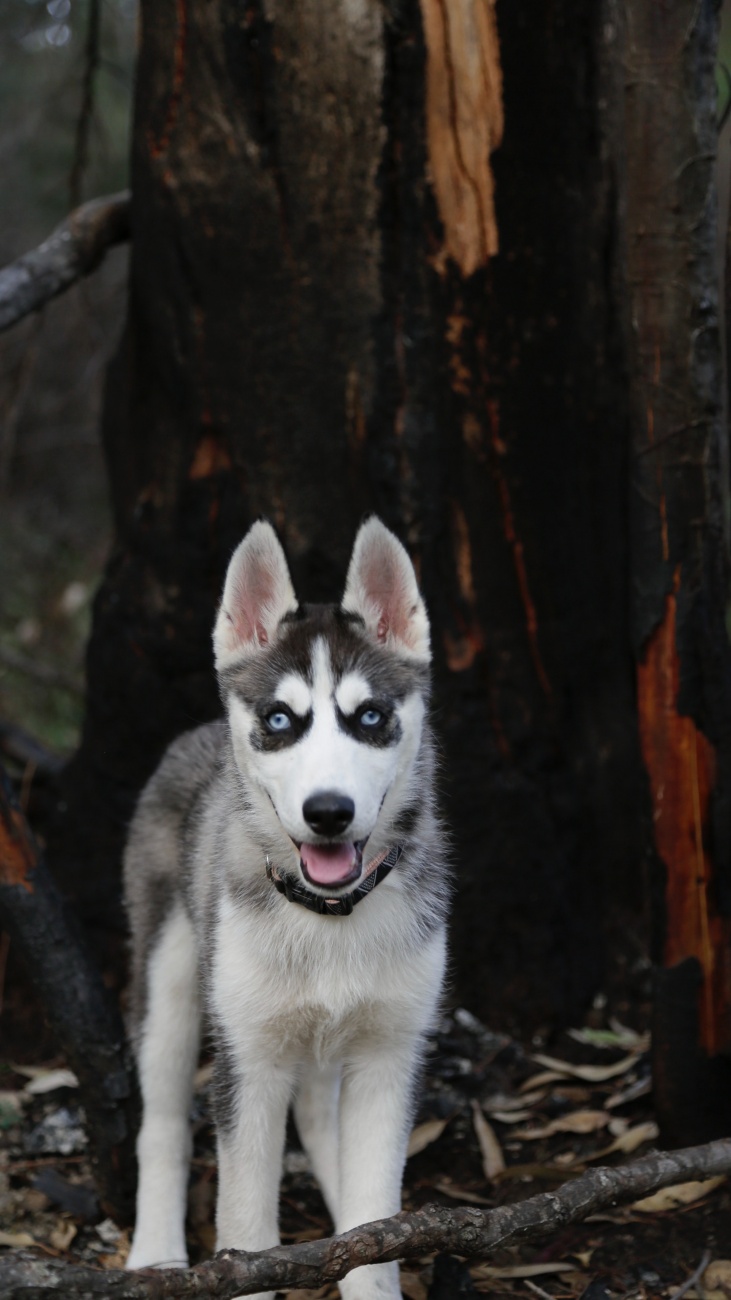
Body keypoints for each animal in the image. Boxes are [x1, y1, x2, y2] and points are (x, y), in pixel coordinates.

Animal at [122, 517, 447, 1300]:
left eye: (369, 717)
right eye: (279, 719)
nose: (328, 813)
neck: (329, 916)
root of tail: (196, 734)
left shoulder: (391, 1053)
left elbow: (375, 1221)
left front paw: (363, 1258)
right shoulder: (249, 1060)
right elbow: (245, 1225)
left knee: (321, 1116)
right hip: (170, 978)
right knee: (162, 1121)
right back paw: (155, 1252)